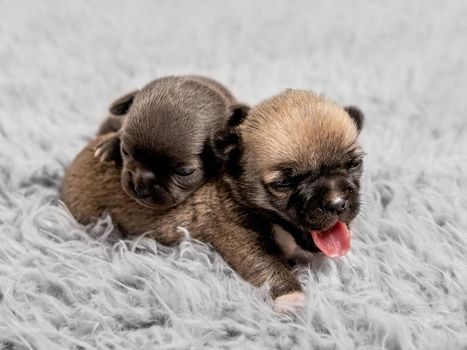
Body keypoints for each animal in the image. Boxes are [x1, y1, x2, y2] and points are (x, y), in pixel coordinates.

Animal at [60, 89, 366, 312]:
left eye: (354, 164)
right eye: (283, 184)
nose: (338, 204)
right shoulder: (241, 240)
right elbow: (267, 265)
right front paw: (291, 297)